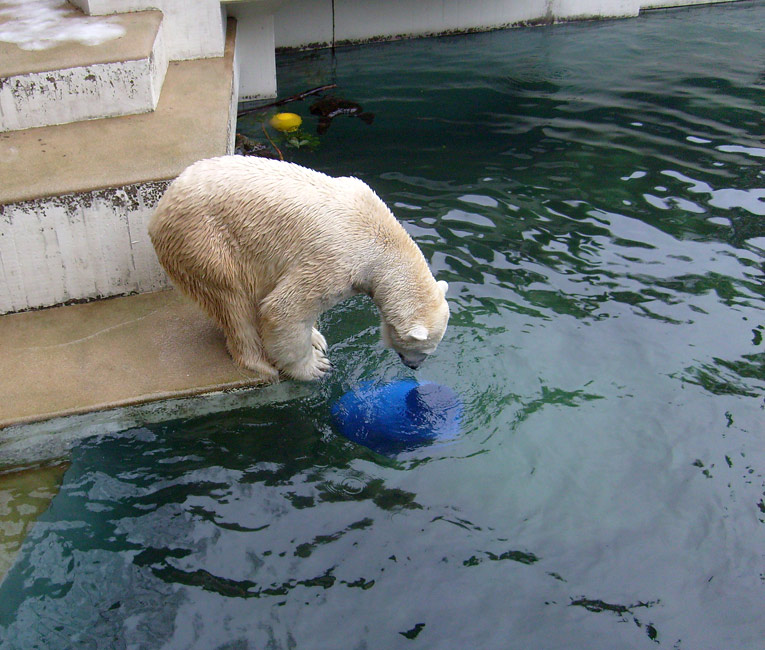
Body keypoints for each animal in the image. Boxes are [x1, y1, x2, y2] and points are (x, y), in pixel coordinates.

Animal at [148, 156, 448, 380]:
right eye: (423, 349)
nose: (414, 366)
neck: (383, 246)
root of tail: (160, 209)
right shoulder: (338, 259)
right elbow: (284, 309)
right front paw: (314, 367)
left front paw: (316, 339)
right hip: (204, 242)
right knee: (231, 301)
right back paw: (259, 362)